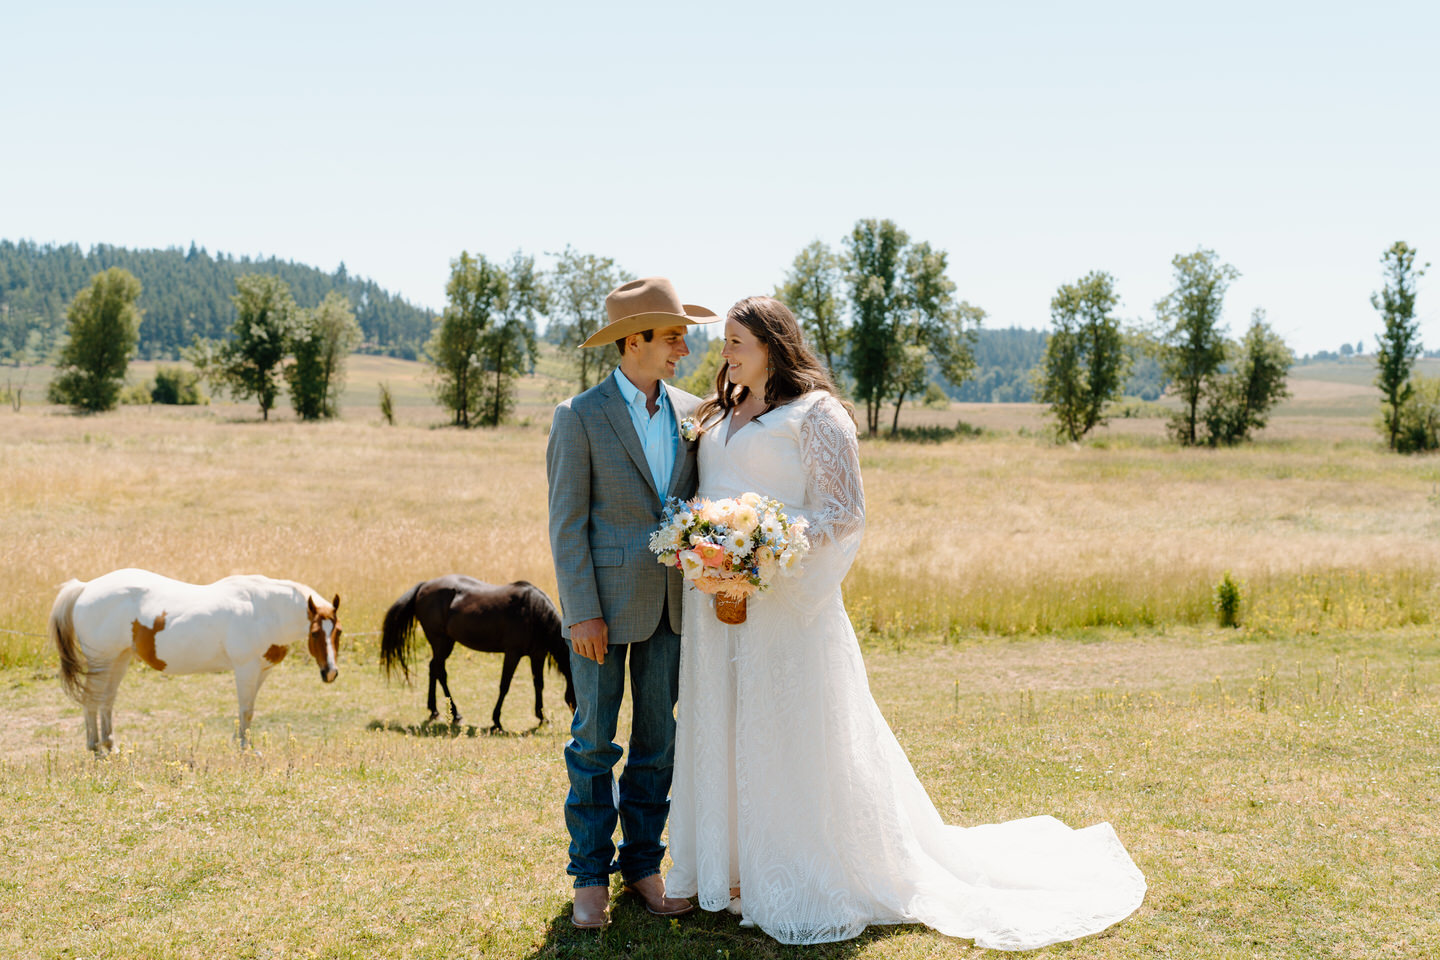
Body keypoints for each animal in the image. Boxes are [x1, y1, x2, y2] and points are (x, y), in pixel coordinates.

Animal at [48, 567, 342, 754]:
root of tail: (85, 587)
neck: (265, 610)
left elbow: (247, 710)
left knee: (106, 700)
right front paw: (245, 749)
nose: (330, 672)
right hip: (102, 661)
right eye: (315, 632)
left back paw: (110, 746)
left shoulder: (262, 670)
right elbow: (246, 710)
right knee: (91, 700)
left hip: (119, 659)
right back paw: (95, 748)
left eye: (337, 631)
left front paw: (239, 742)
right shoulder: (245, 668)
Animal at [383, 578, 573, 728]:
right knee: (440, 671)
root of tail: (423, 586)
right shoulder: (512, 653)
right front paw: (496, 721)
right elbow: (504, 685)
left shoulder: (538, 654)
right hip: (440, 641)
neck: (533, 613)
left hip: (445, 643)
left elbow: (539, 684)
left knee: (433, 668)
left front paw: (542, 718)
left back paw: (434, 711)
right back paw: (456, 715)